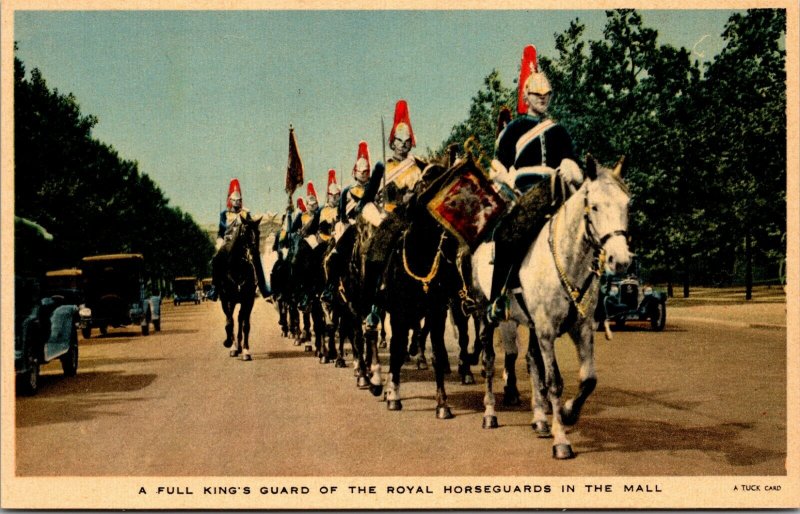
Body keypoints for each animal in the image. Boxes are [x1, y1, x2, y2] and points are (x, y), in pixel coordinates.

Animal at [468, 154, 632, 458]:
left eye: (627, 204)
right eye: (594, 206)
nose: (621, 260)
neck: (568, 260)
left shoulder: (582, 328)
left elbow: (588, 379)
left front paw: (567, 413)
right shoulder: (546, 330)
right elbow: (554, 382)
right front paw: (561, 440)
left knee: (531, 361)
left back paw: (540, 420)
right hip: (486, 316)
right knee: (489, 361)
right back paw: (490, 413)